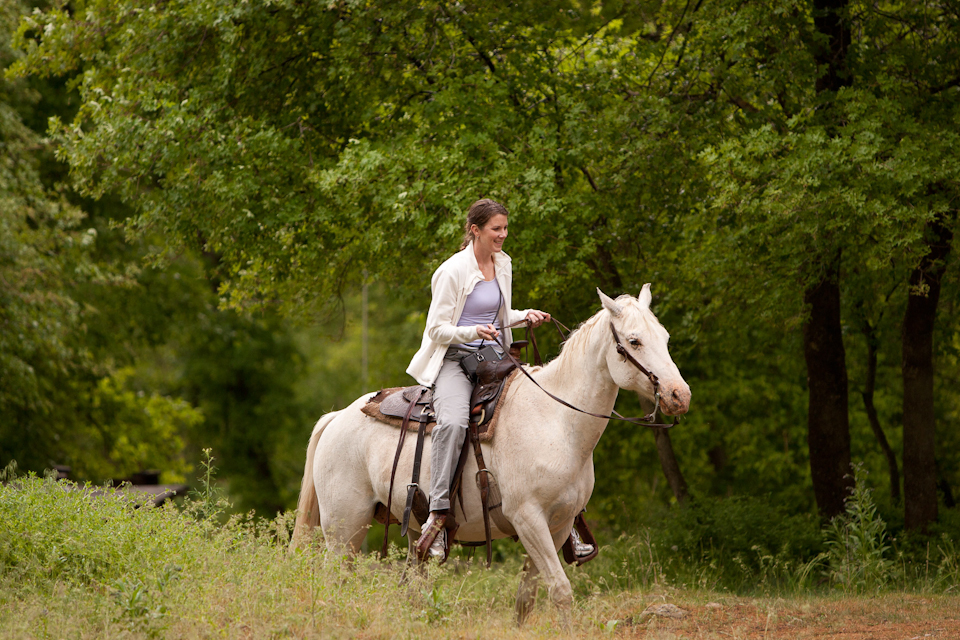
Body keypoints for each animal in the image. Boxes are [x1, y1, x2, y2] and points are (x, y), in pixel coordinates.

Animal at [292, 288, 688, 624]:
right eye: (634, 341)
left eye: (666, 337)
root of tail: (337, 417)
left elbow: (528, 598)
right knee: (336, 581)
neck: (557, 419)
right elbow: (561, 590)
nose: (679, 395)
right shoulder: (528, 518)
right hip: (345, 531)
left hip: (405, 533)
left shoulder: (559, 524)